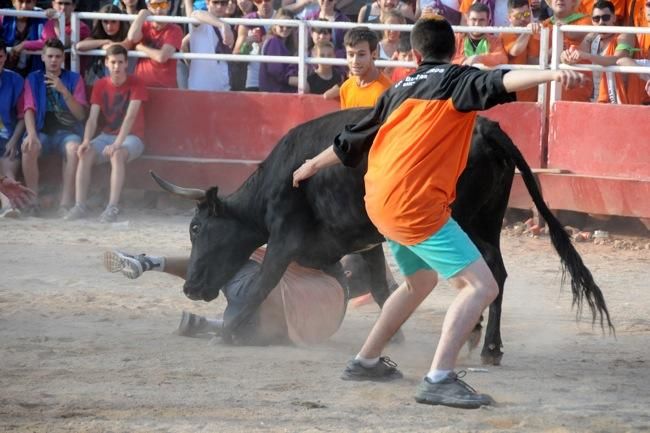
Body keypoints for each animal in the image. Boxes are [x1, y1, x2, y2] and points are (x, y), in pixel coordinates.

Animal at [152, 106, 612, 362]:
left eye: (196, 227)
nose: (191, 287)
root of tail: (485, 128)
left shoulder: (284, 239)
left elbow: (261, 285)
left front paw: (228, 333)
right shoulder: (363, 242)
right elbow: (378, 287)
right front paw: (397, 335)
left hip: (462, 221)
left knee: (486, 273)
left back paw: (486, 344)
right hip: (487, 220)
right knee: (496, 273)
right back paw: (484, 343)